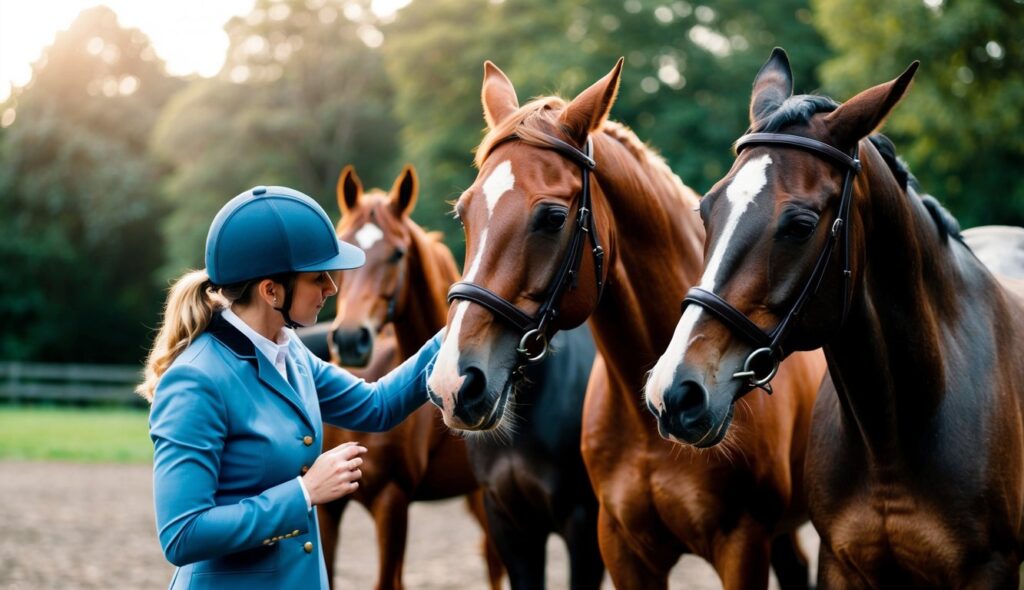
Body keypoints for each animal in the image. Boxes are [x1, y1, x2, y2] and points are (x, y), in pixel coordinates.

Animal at [423, 60, 823, 590]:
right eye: (463, 214)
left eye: (553, 217)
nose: (453, 383)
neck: (651, 420)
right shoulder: (608, 546)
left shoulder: (741, 546)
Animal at [647, 47, 1024, 585]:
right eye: (705, 210)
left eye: (801, 225)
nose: (675, 393)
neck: (891, 435)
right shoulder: (840, 563)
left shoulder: (988, 570)